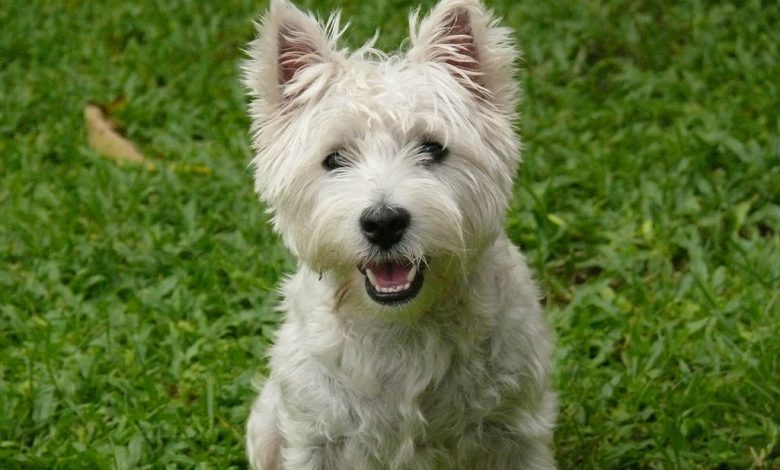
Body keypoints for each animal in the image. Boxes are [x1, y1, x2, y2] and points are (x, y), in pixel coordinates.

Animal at [244, 0, 556, 466]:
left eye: (433, 148)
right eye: (334, 159)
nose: (383, 222)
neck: (400, 327)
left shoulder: (516, 430)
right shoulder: (314, 436)